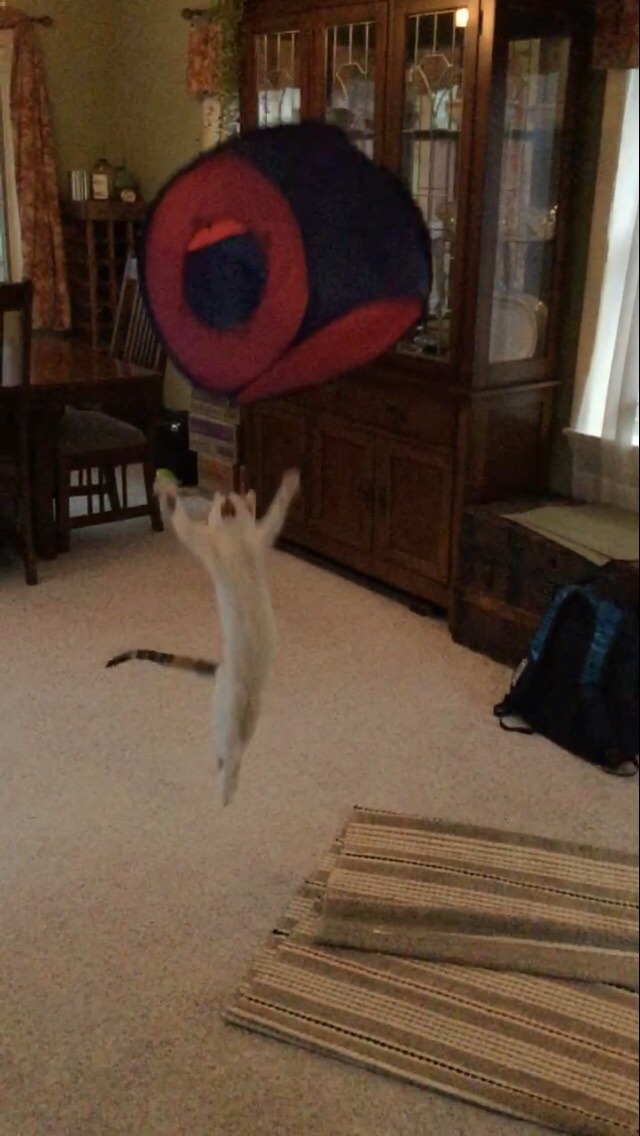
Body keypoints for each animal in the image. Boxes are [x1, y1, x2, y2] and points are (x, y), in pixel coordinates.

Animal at [107, 469, 301, 806]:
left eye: (212, 511)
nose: (214, 505)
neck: (238, 539)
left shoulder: (206, 542)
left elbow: (181, 521)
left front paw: (168, 491)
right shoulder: (262, 536)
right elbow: (277, 511)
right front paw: (290, 483)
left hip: (220, 712)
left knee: (228, 756)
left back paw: (222, 791)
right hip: (253, 716)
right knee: (242, 752)